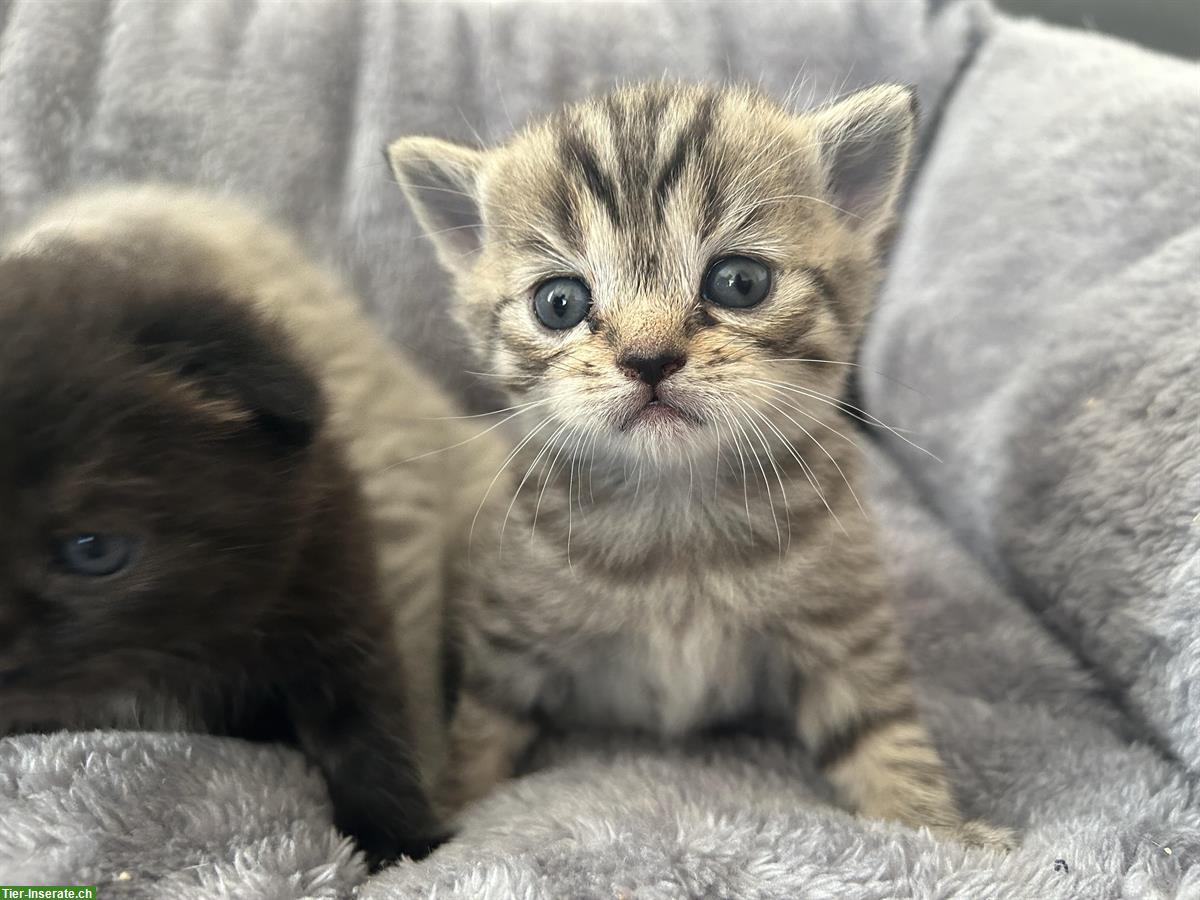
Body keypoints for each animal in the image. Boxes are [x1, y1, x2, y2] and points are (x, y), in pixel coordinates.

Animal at [391, 81, 1012, 849]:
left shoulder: (841, 625)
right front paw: (450, 808)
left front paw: (936, 828)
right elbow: (483, 729)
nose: (648, 358)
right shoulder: (510, 635)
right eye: (559, 302)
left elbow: (880, 730)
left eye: (739, 282)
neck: (677, 516)